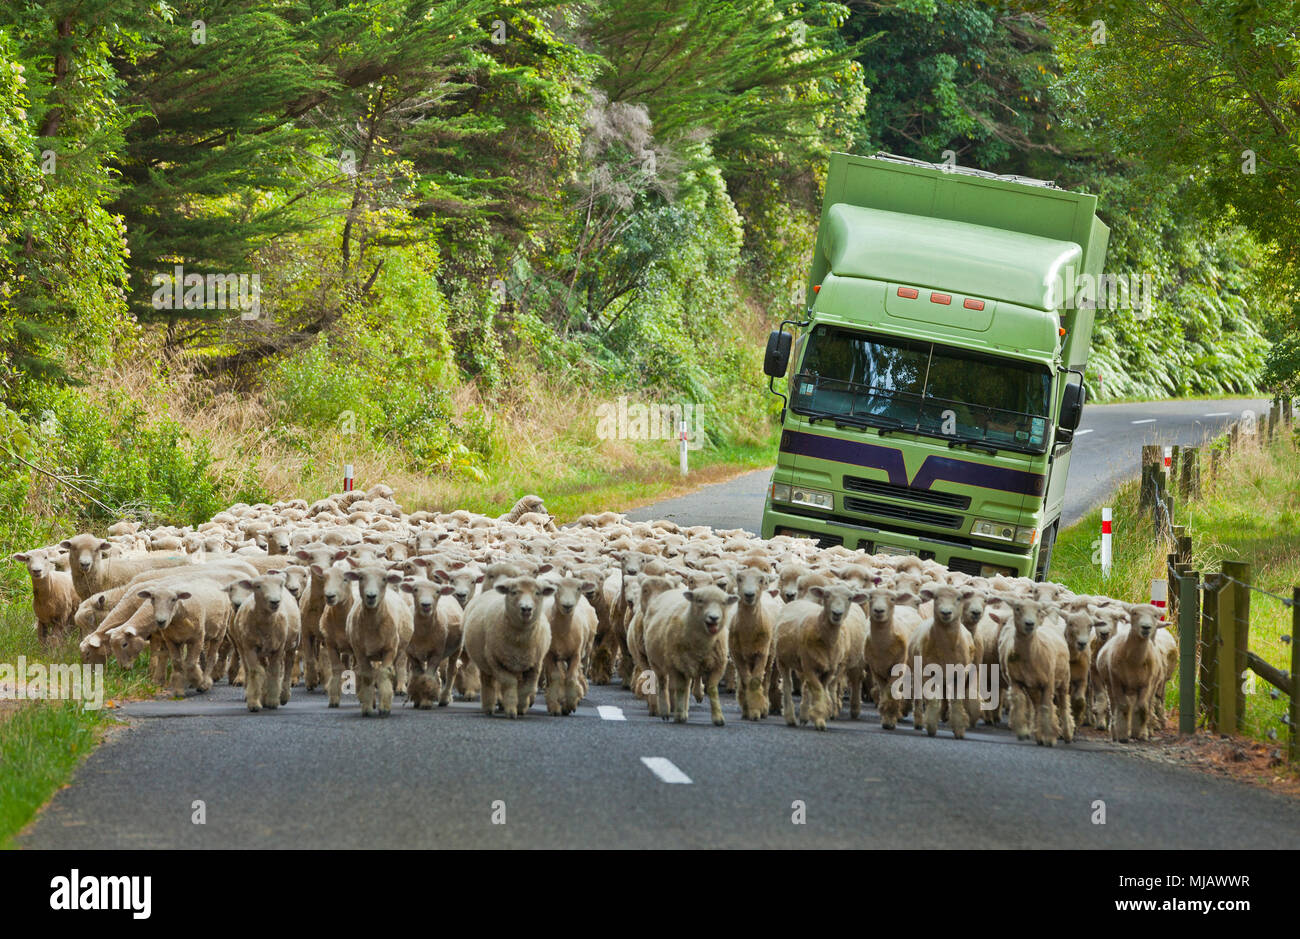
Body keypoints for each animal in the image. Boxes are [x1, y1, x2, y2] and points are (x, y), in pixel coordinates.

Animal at [463, 575, 556, 718]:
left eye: (537, 593)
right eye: (514, 592)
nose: (526, 608)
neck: (520, 641)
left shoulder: (535, 665)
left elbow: (527, 688)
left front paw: (521, 707)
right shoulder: (497, 662)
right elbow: (509, 683)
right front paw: (511, 710)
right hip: (485, 662)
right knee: (488, 682)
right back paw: (489, 707)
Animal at [643, 584, 736, 725]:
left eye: (724, 603)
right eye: (700, 600)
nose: (714, 618)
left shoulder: (717, 665)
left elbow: (712, 689)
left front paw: (718, 718)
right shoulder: (676, 665)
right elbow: (680, 689)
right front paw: (679, 716)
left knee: (688, 684)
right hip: (658, 662)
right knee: (663, 683)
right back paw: (665, 711)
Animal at [774, 584, 866, 731]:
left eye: (850, 598)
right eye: (826, 595)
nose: (837, 613)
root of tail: (797, 601)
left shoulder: (829, 669)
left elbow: (822, 689)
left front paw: (820, 717)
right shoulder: (809, 667)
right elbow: (818, 690)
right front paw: (819, 717)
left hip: (802, 665)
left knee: (806, 686)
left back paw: (804, 715)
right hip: (782, 660)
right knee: (787, 685)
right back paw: (791, 718)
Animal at [1095, 603, 1167, 743]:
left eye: (1155, 615)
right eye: (1134, 613)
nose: (1146, 627)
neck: (1134, 661)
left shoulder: (1146, 684)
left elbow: (1142, 706)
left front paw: (1137, 732)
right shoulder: (1117, 682)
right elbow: (1123, 706)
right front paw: (1122, 734)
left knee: (1145, 705)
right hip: (1111, 684)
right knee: (1115, 705)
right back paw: (1115, 731)